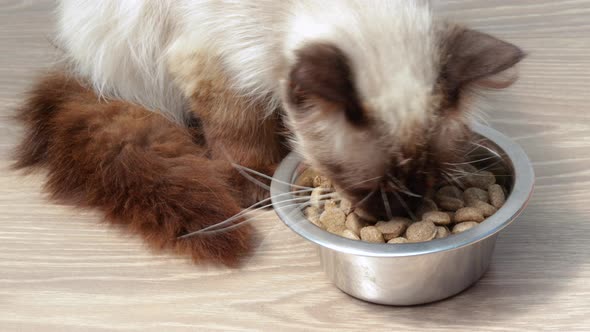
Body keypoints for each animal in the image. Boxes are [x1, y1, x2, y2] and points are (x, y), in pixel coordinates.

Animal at [13, 0, 524, 264]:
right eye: (362, 185)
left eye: (430, 175)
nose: (396, 215)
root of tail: (76, 65)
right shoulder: (216, 64)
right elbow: (239, 134)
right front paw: (255, 187)